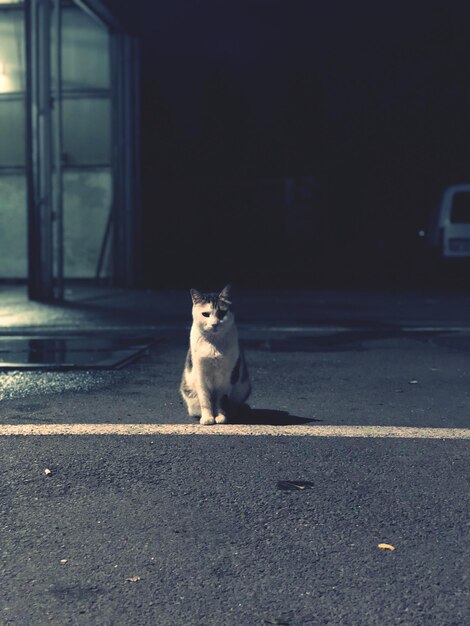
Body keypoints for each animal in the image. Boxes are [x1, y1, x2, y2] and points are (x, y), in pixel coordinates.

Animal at [179, 284, 252, 424]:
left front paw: (221, 416)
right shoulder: (200, 375)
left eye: (222, 313)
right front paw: (207, 418)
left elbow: (221, 400)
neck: (213, 345)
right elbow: (205, 399)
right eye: (205, 314)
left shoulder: (227, 378)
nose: (214, 324)